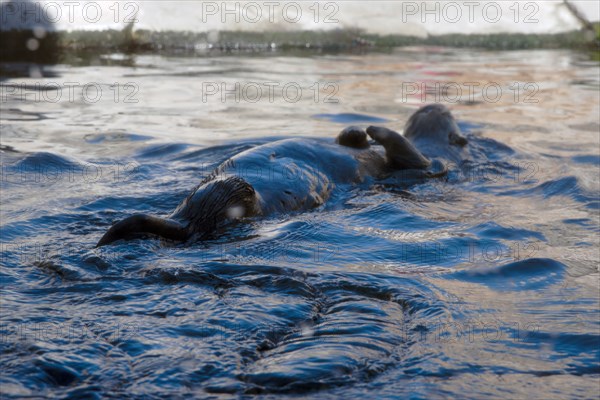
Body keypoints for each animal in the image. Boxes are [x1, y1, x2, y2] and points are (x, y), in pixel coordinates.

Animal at [96, 103, 466, 247]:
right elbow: (349, 140)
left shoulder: (429, 167)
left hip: (236, 193)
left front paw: (376, 129)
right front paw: (357, 131)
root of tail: (183, 221)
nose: (431, 105)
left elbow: (412, 158)